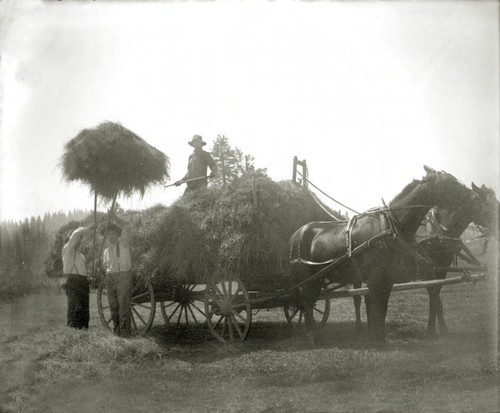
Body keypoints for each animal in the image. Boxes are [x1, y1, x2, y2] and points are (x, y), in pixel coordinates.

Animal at [288, 164, 482, 342]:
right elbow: (376, 307)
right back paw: (312, 336)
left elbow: (383, 308)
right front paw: (375, 338)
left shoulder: (388, 278)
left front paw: (380, 336)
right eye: (449, 183)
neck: (391, 226)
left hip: (318, 279)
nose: (475, 197)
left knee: (311, 301)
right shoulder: (376, 278)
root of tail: (296, 235)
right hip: (308, 278)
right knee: (307, 302)